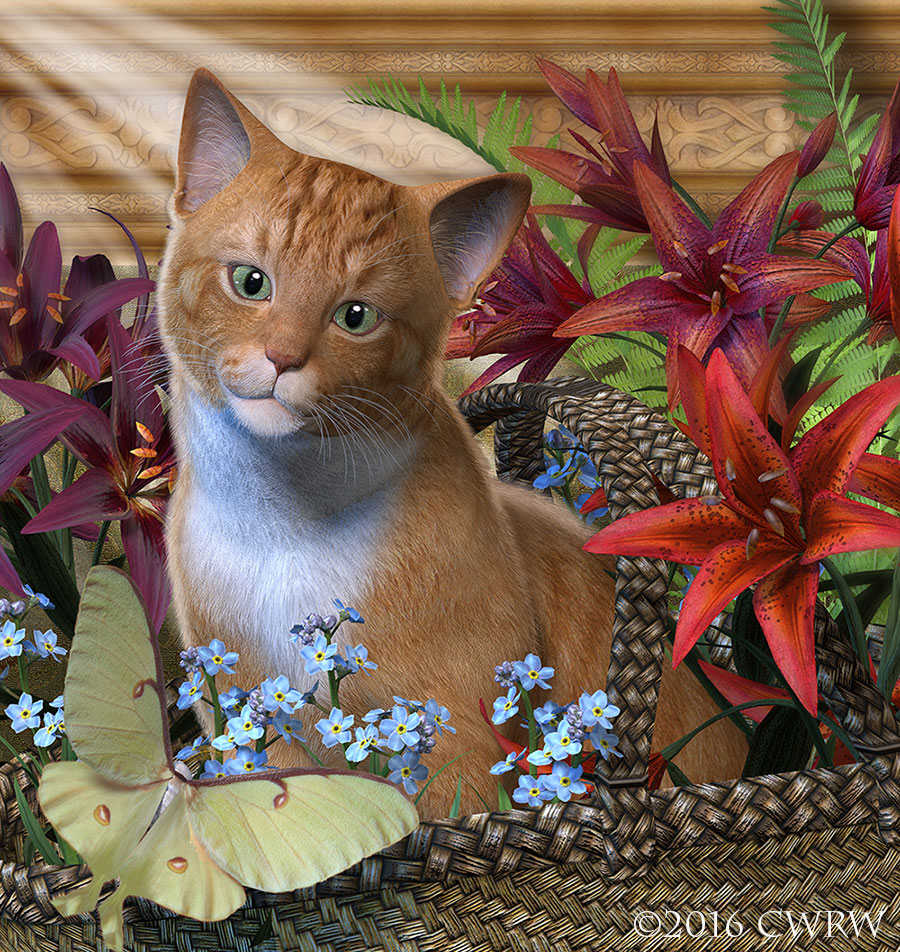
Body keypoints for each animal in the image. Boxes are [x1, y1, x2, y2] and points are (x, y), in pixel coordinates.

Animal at [156, 69, 744, 820]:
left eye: (356, 317)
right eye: (250, 282)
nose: (282, 357)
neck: (283, 521)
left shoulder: (453, 741)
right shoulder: (262, 731)